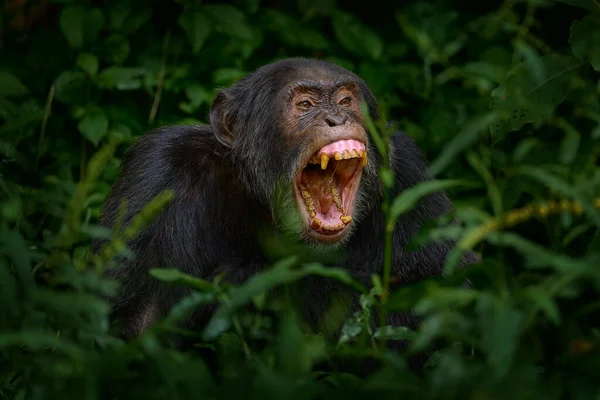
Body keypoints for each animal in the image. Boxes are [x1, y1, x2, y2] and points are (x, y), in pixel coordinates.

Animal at [94, 57, 478, 354]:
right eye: (305, 105)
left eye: (345, 100)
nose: (337, 118)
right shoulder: (158, 172)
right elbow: (136, 320)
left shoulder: (409, 173)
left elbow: (450, 294)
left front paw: (249, 282)